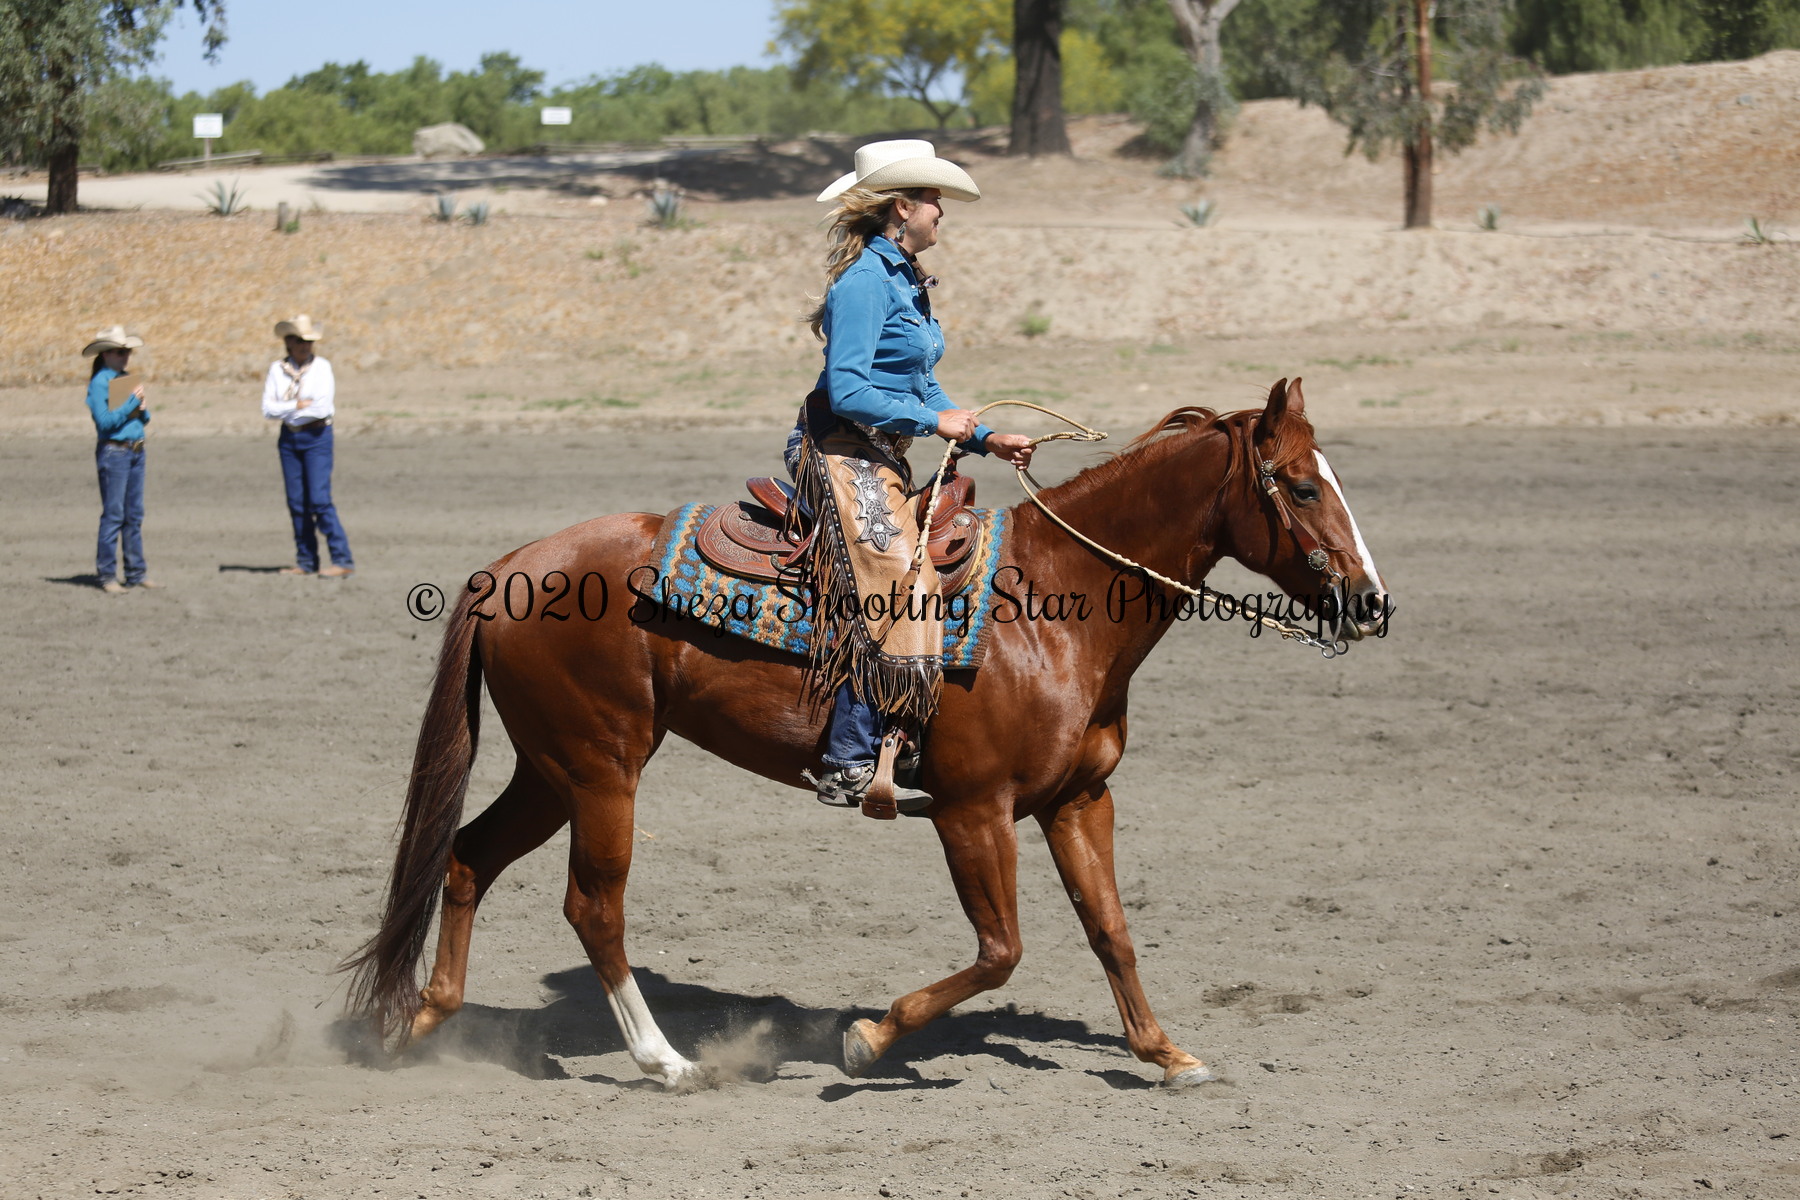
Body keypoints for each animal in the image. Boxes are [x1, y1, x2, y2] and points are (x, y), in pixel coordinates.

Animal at [344, 377, 1390, 1089]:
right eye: (1300, 487)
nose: (1373, 603)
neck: (1057, 608)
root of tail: (511, 567)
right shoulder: (972, 810)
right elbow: (1002, 949)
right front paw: (869, 1036)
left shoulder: (1077, 800)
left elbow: (1111, 930)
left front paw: (1165, 1052)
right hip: (602, 770)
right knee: (593, 906)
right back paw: (663, 1060)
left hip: (550, 769)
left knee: (468, 857)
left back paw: (425, 1023)